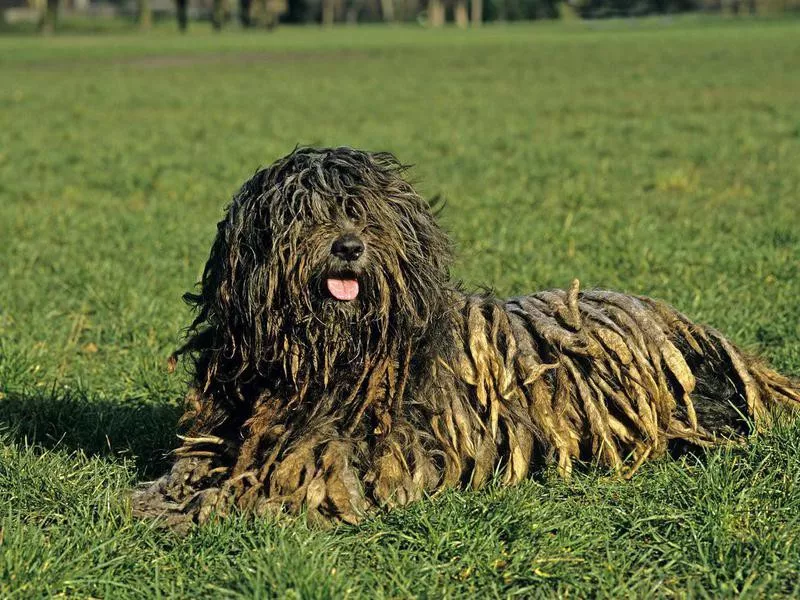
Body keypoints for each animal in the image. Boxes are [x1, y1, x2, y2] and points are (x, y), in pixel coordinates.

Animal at [133, 146, 800, 528]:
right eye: (305, 213)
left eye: (365, 213)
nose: (348, 247)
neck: (320, 360)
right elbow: (188, 469)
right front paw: (160, 498)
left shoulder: (364, 459)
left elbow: (278, 491)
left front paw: (210, 508)